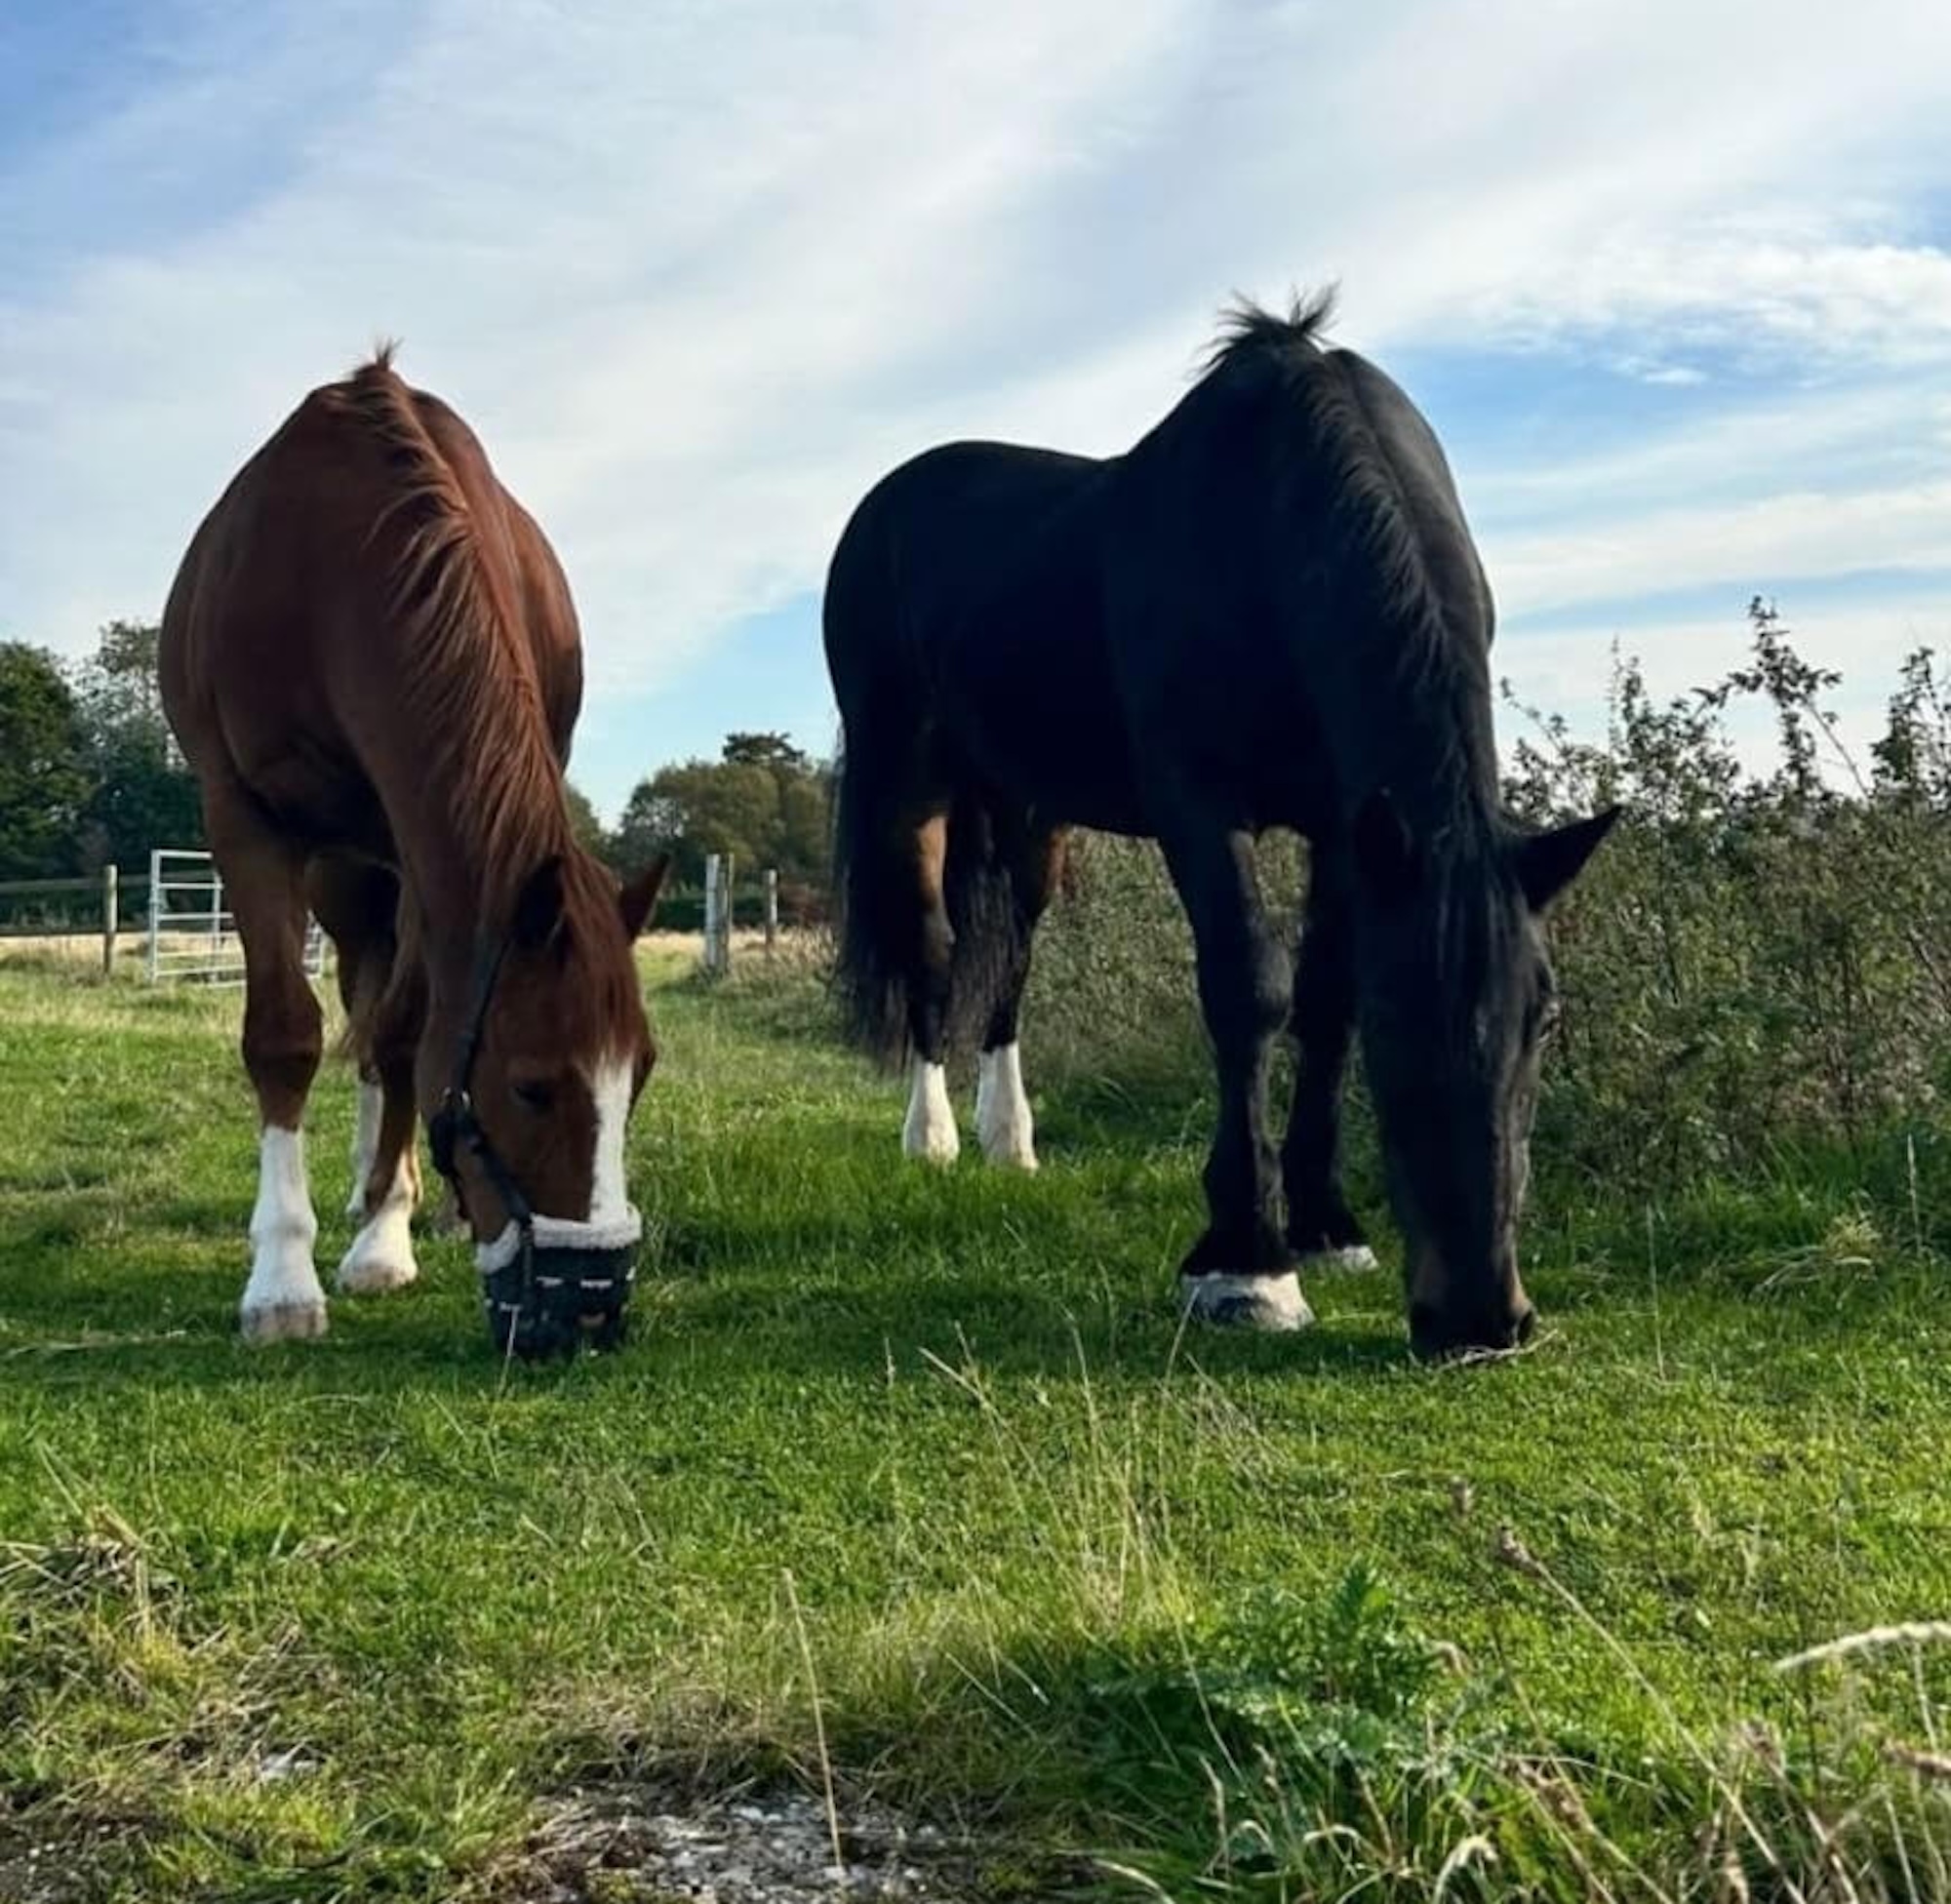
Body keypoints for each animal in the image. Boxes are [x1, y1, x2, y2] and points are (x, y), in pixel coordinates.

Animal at [160, 348, 669, 1355]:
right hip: (343, 875)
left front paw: (384, 1237)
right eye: (532, 1087)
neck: (331, 567)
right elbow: (285, 1034)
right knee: (355, 997)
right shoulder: (243, 817)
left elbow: (403, 1035)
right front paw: (282, 1277)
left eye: (640, 1074)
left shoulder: (425, 845)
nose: (590, 1305)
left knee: (379, 1019)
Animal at [822, 292, 1616, 1359]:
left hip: (1027, 805)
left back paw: (1011, 1141)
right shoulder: (1197, 806)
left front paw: (1326, 1225)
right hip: (908, 789)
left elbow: (1323, 999)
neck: (1271, 537)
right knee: (934, 951)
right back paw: (934, 1137)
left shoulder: (1346, 828)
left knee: (1011, 952)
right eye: (1403, 1017)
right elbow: (1251, 989)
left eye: (1547, 1016)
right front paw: (1248, 1262)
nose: (1483, 1320)